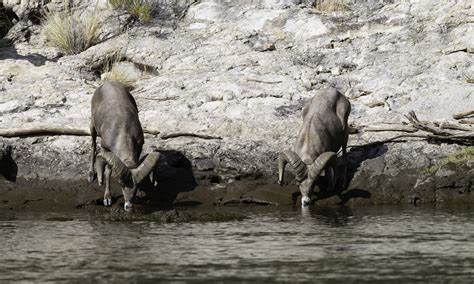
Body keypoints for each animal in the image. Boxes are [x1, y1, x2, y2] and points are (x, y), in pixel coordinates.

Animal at [89, 81, 161, 211]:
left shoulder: (139, 145)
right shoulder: (105, 149)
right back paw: (91, 175)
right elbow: (108, 172)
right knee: (93, 146)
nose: (128, 206)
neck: (123, 130)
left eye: (137, 186)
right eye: (121, 184)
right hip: (92, 127)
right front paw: (107, 199)